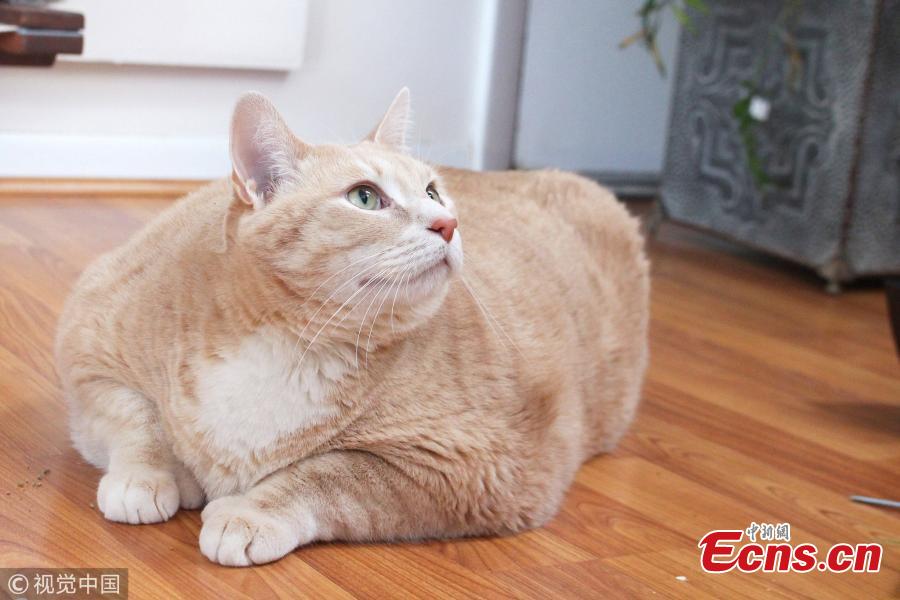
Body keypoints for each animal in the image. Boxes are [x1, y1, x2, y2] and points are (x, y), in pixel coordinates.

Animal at [56, 89, 648, 568]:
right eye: (365, 197)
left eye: (432, 192)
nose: (448, 224)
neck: (286, 343)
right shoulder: (89, 347)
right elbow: (135, 419)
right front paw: (145, 476)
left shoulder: (471, 466)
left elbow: (327, 475)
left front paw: (250, 512)